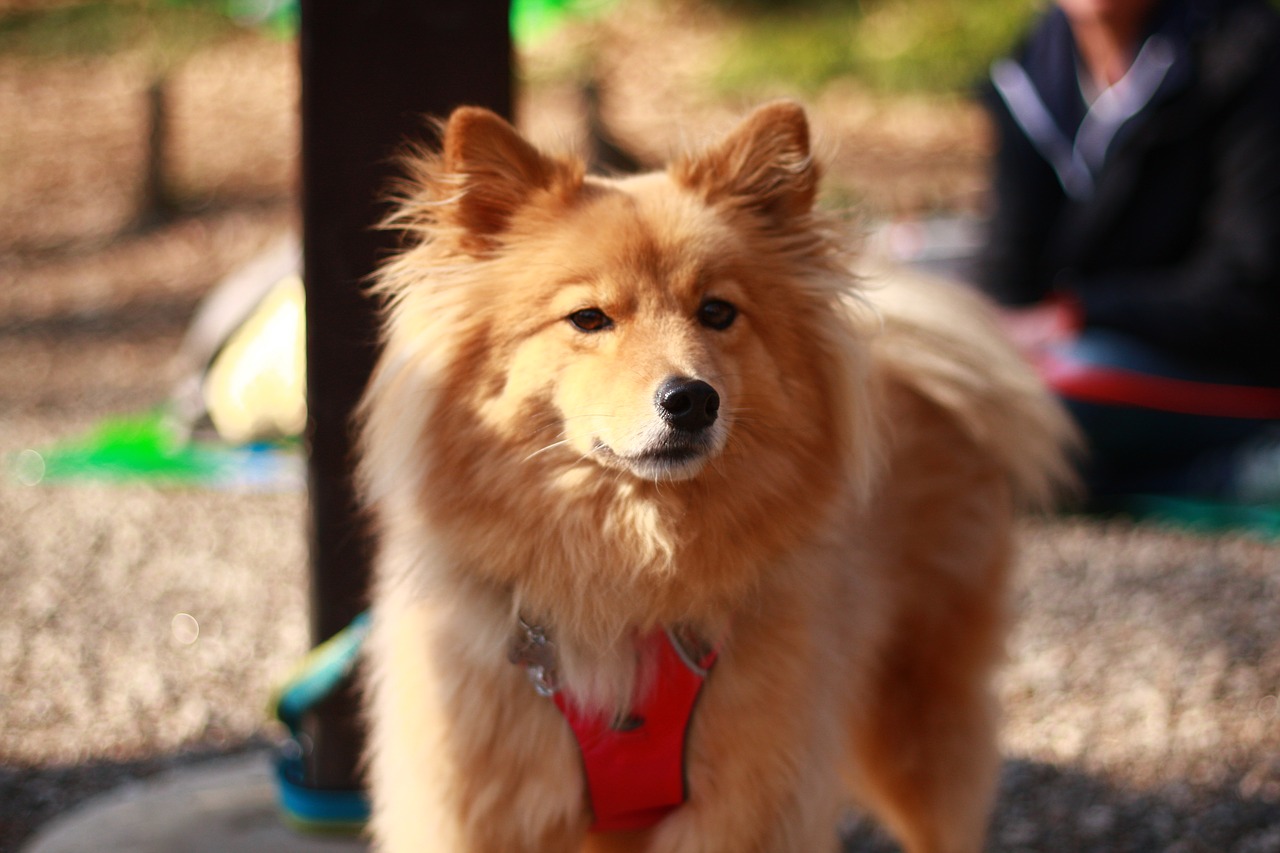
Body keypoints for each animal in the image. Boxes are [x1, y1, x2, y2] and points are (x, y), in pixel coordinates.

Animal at [355, 101, 1075, 850]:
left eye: (717, 312)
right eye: (589, 318)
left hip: (919, 718)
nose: (693, 399)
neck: (627, 583)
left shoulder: (742, 806)